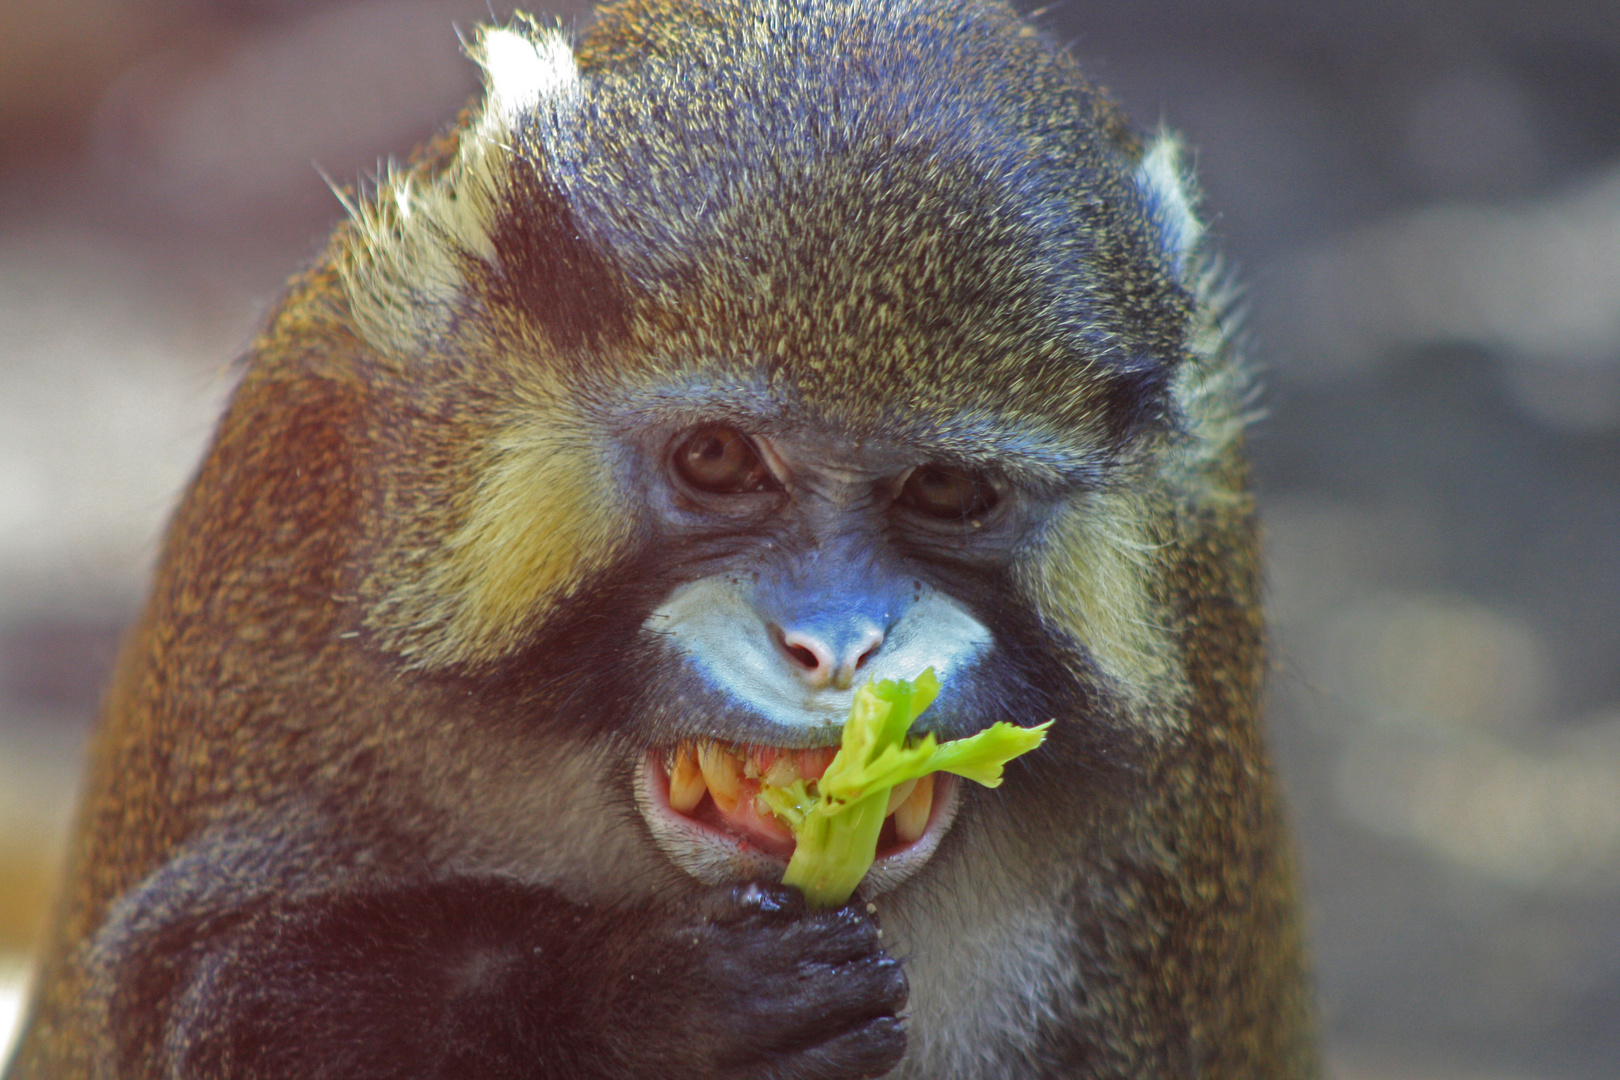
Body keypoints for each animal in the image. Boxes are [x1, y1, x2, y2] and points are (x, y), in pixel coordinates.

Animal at [0, 0, 1315, 1075]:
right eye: (719, 459)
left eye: (946, 489)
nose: (836, 649)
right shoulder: (304, 501)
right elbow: (193, 993)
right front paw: (647, 1004)